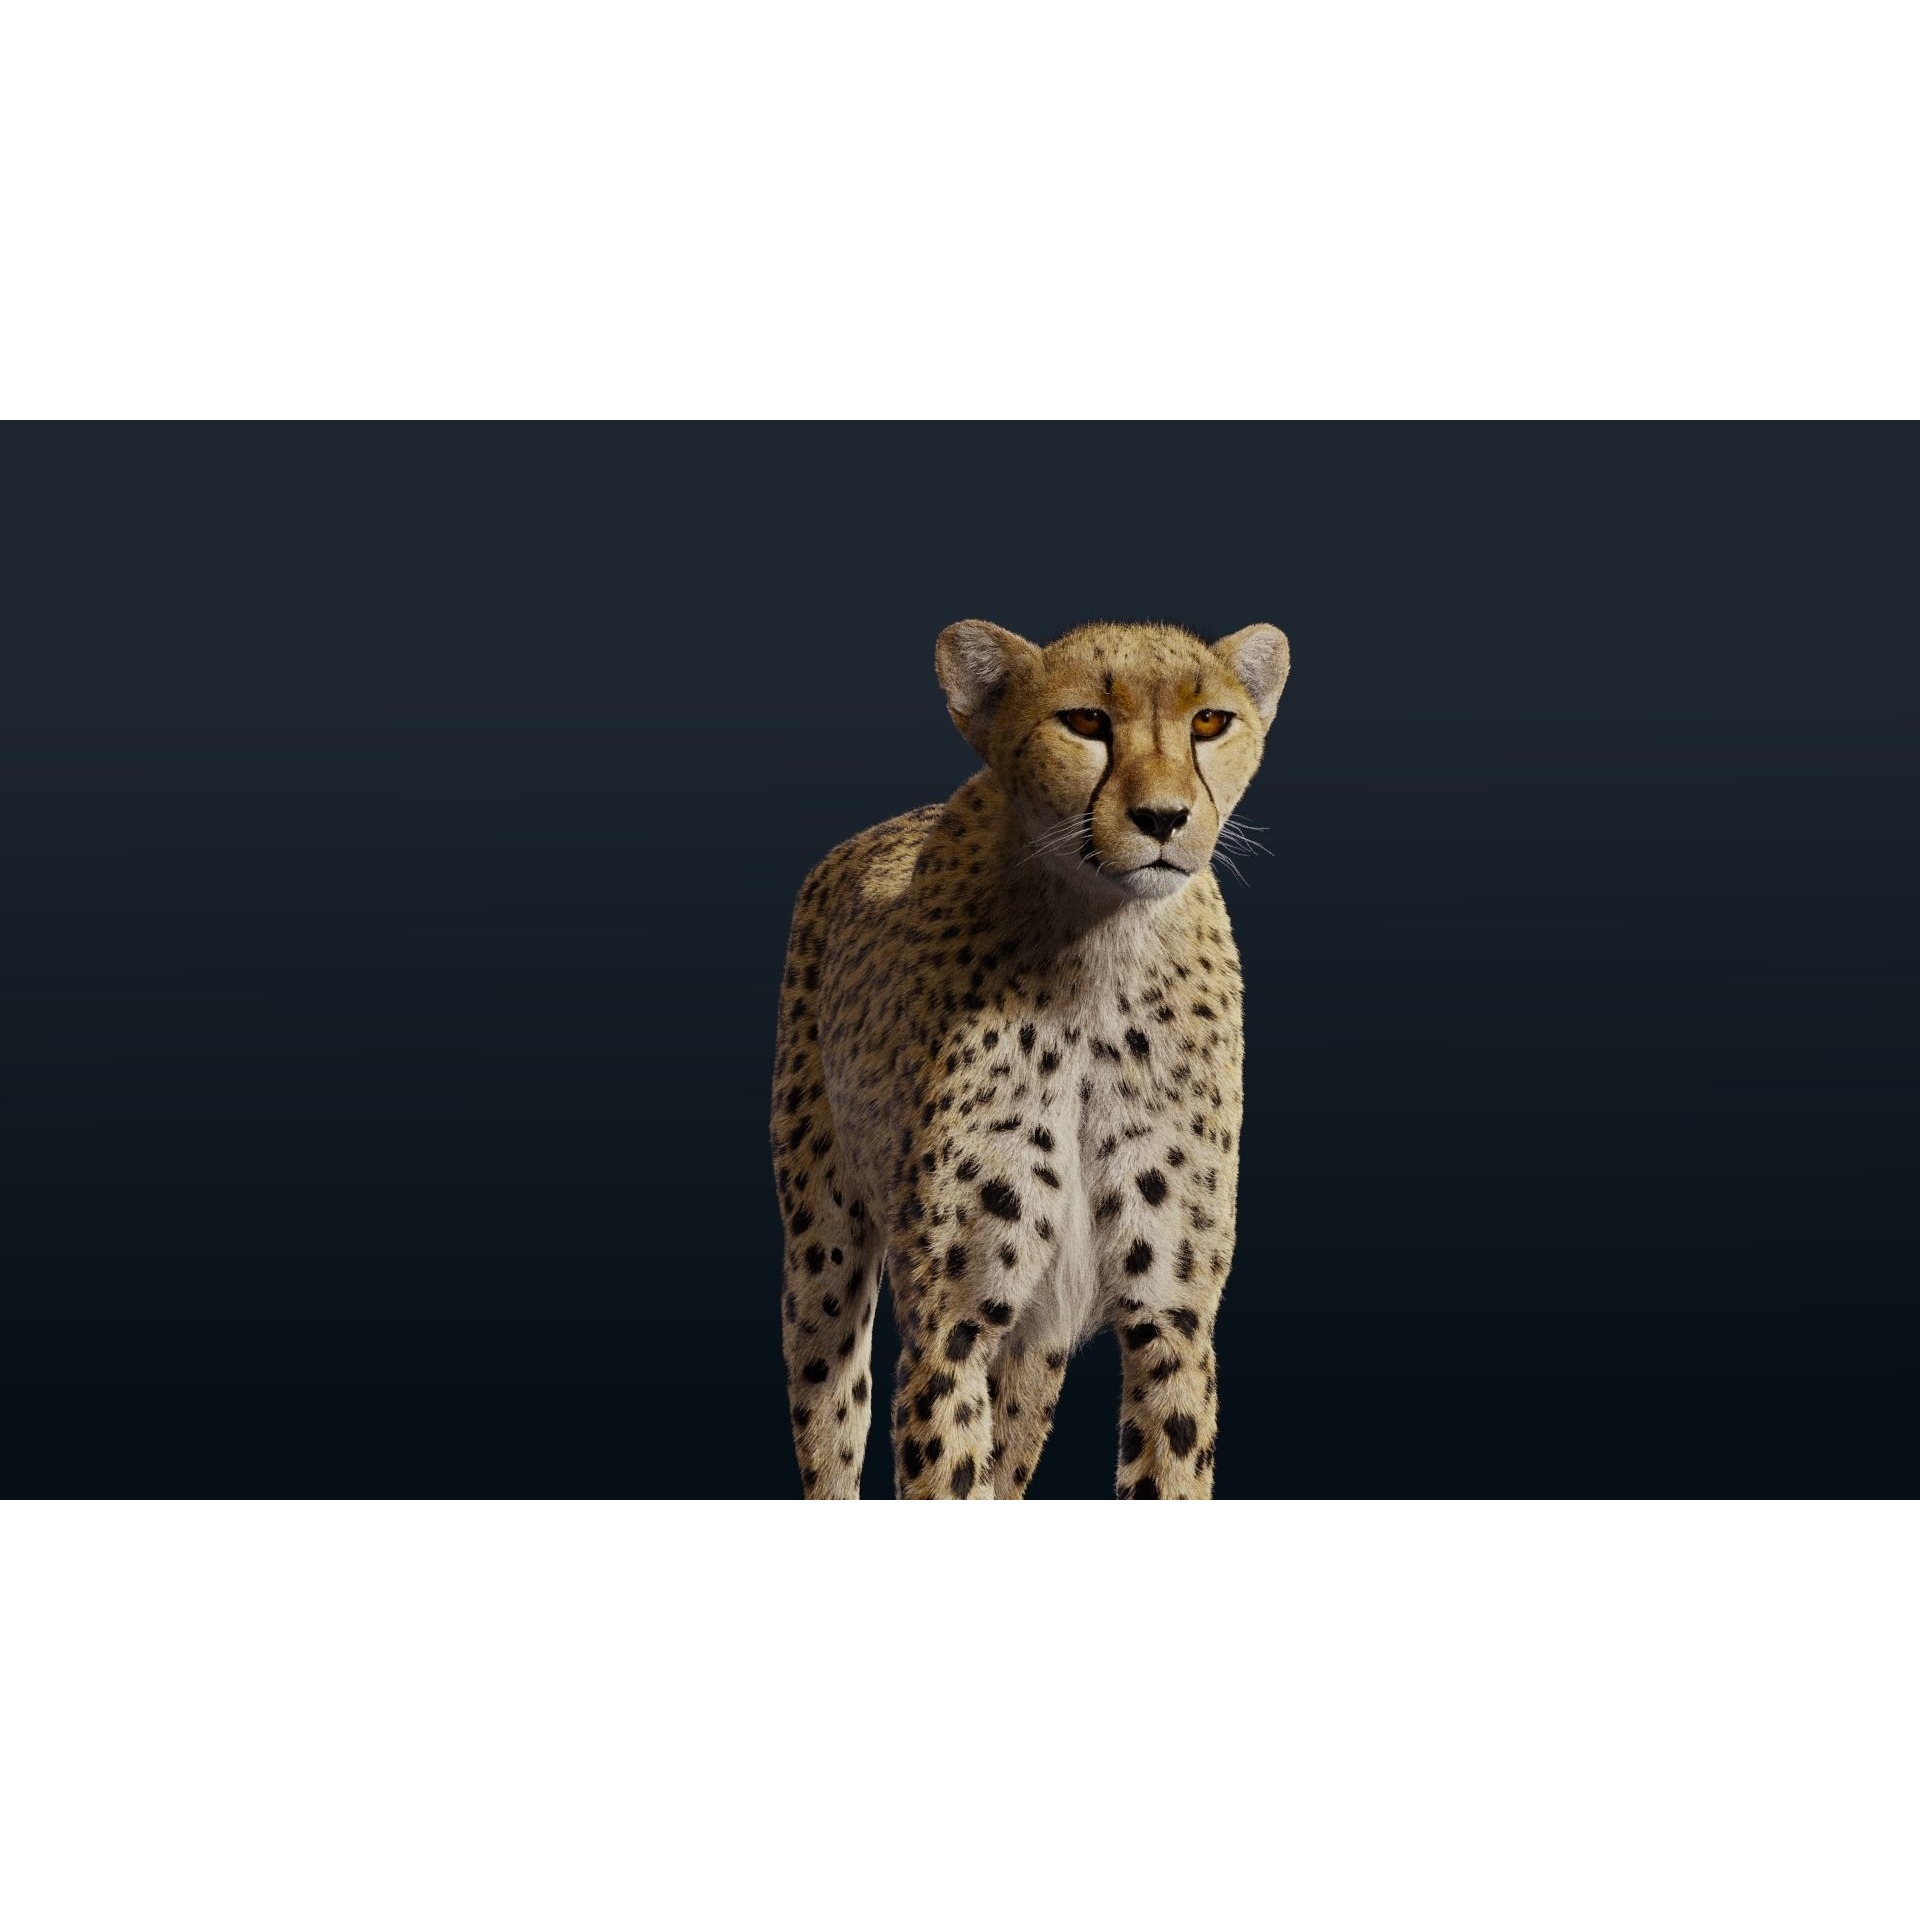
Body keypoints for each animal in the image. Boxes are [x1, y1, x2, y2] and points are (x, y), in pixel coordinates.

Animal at [770, 617, 1291, 1498]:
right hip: (823, 1252)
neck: (1098, 955)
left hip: (1037, 1334)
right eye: (1085, 722)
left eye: (1210, 722)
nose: (1163, 818)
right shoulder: (950, 1323)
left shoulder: (1172, 1316)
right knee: (832, 1415)